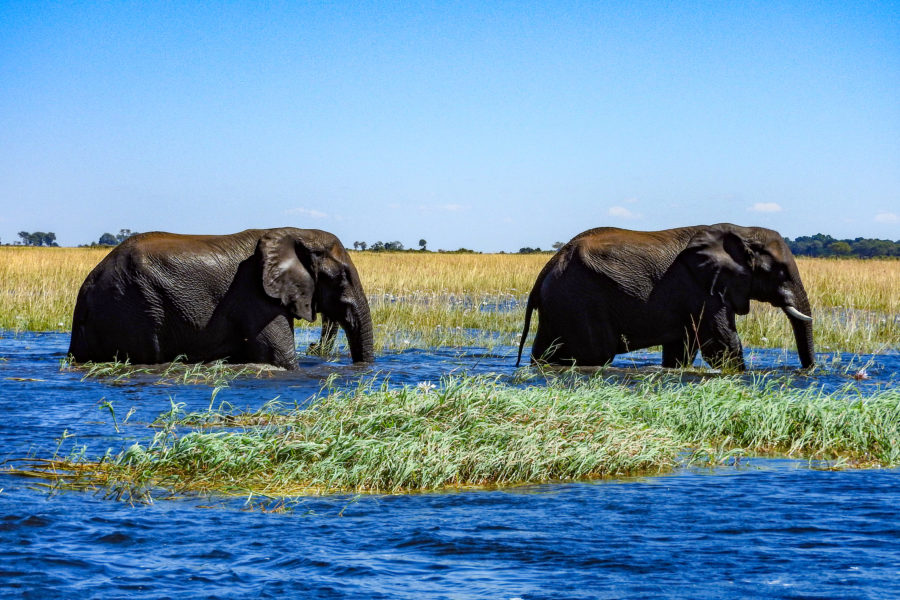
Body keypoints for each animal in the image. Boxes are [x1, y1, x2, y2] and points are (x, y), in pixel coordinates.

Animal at [68, 227, 374, 370]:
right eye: (342, 277)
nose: (360, 368)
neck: (296, 231)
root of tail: (88, 287)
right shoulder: (254, 297)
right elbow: (281, 359)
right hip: (133, 308)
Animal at [512, 224, 816, 370]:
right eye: (780, 271)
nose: (808, 372)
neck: (741, 231)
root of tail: (549, 265)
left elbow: (682, 349)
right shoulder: (701, 288)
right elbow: (722, 343)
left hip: (560, 305)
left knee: (547, 351)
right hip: (579, 302)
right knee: (594, 355)